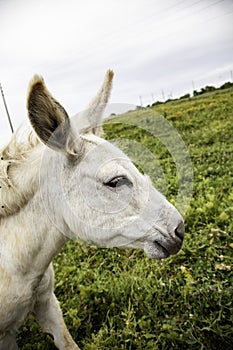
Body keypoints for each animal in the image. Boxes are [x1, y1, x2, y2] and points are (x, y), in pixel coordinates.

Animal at [0, 69, 186, 348]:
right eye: (115, 181)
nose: (179, 229)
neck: (17, 266)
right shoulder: (6, 335)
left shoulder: (47, 304)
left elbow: (68, 343)